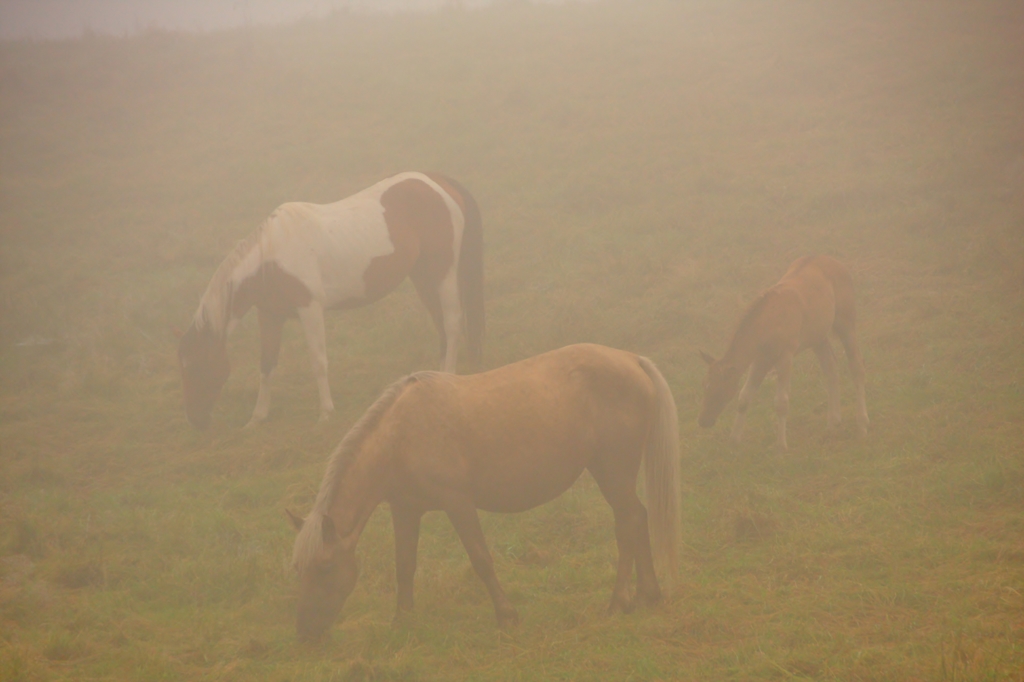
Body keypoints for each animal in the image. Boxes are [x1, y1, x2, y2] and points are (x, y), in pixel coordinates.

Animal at [178, 169, 485, 428]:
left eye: (197, 366)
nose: (195, 421)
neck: (271, 258)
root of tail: (439, 182)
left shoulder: (310, 308)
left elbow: (318, 360)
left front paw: (326, 412)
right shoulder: (270, 315)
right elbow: (267, 363)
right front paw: (257, 417)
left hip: (443, 271)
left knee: (452, 323)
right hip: (422, 275)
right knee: (441, 325)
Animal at [284, 342, 679, 638]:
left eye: (324, 568)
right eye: (298, 569)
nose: (304, 633)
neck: (399, 436)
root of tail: (631, 359)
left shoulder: (458, 503)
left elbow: (480, 559)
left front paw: (507, 616)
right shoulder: (405, 510)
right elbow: (405, 564)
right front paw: (403, 620)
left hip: (613, 472)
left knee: (628, 524)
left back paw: (620, 602)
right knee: (637, 519)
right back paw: (649, 595)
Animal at [696, 251, 864, 448]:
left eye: (718, 389)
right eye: (704, 385)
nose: (703, 420)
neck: (768, 321)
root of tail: (839, 264)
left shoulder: (785, 356)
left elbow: (781, 402)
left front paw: (781, 446)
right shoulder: (760, 360)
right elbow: (744, 397)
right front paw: (734, 440)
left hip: (846, 324)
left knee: (857, 367)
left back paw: (863, 424)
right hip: (818, 338)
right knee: (831, 369)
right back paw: (833, 422)